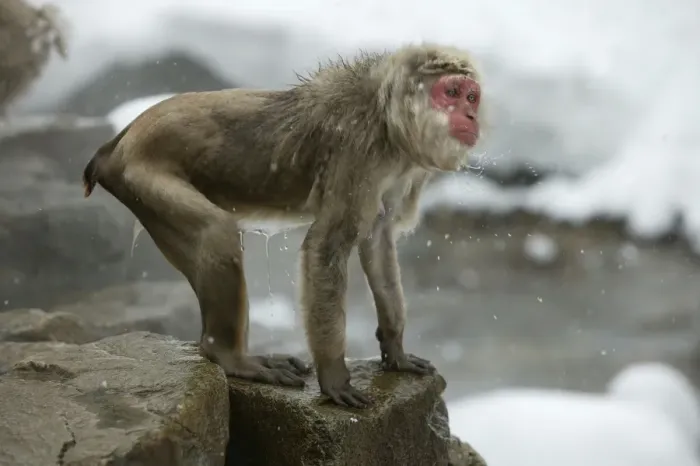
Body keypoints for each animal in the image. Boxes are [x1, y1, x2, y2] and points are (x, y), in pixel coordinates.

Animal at [81, 43, 483, 408]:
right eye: (451, 93)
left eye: (471, 96)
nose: (471, 115)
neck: (388, 121)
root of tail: (117, 143)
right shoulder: (358, 153)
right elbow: (325, 246)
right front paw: (334, 377)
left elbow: (377, 239)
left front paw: (395, 350)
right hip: (143, 175)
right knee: (216, 232)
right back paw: (230, 357)